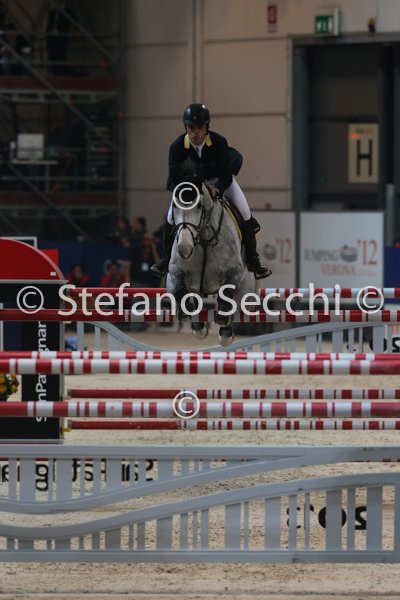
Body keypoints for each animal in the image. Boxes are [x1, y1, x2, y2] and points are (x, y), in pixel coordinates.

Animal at [166, 169, 256, 346]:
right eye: (174, 205)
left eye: (199, 205)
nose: (184, 249)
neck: (204, 240)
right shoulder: (176, 269)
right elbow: (180, 289)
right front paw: (189, 315)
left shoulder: (235, 270)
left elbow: (226, 294)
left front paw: (223, 321)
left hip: (245, 291)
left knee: (236, 304)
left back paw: (226, 332)